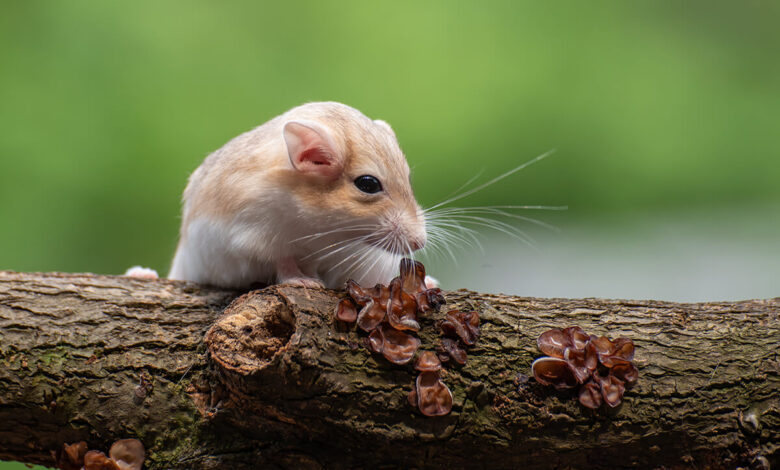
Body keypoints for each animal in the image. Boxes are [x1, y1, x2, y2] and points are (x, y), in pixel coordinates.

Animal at [168, 102, 427, 290]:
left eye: (408, 178)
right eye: (368, 184)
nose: (420, 243)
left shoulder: (316, 251)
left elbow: (310, 264)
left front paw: (314, 279)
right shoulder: (258, 240)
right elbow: (283, 264)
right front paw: (307, 283)